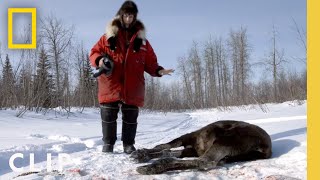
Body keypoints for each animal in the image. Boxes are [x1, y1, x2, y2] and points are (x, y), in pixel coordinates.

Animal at [131, 119, 272, 174]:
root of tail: (266, 147)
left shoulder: (188, 137)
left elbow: (165, 146)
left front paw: (143, 154)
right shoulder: (191, 149)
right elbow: (167, 150)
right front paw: (141, 154)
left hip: (225, 140)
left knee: (205, 161)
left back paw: (153, 167)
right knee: (204, 162)